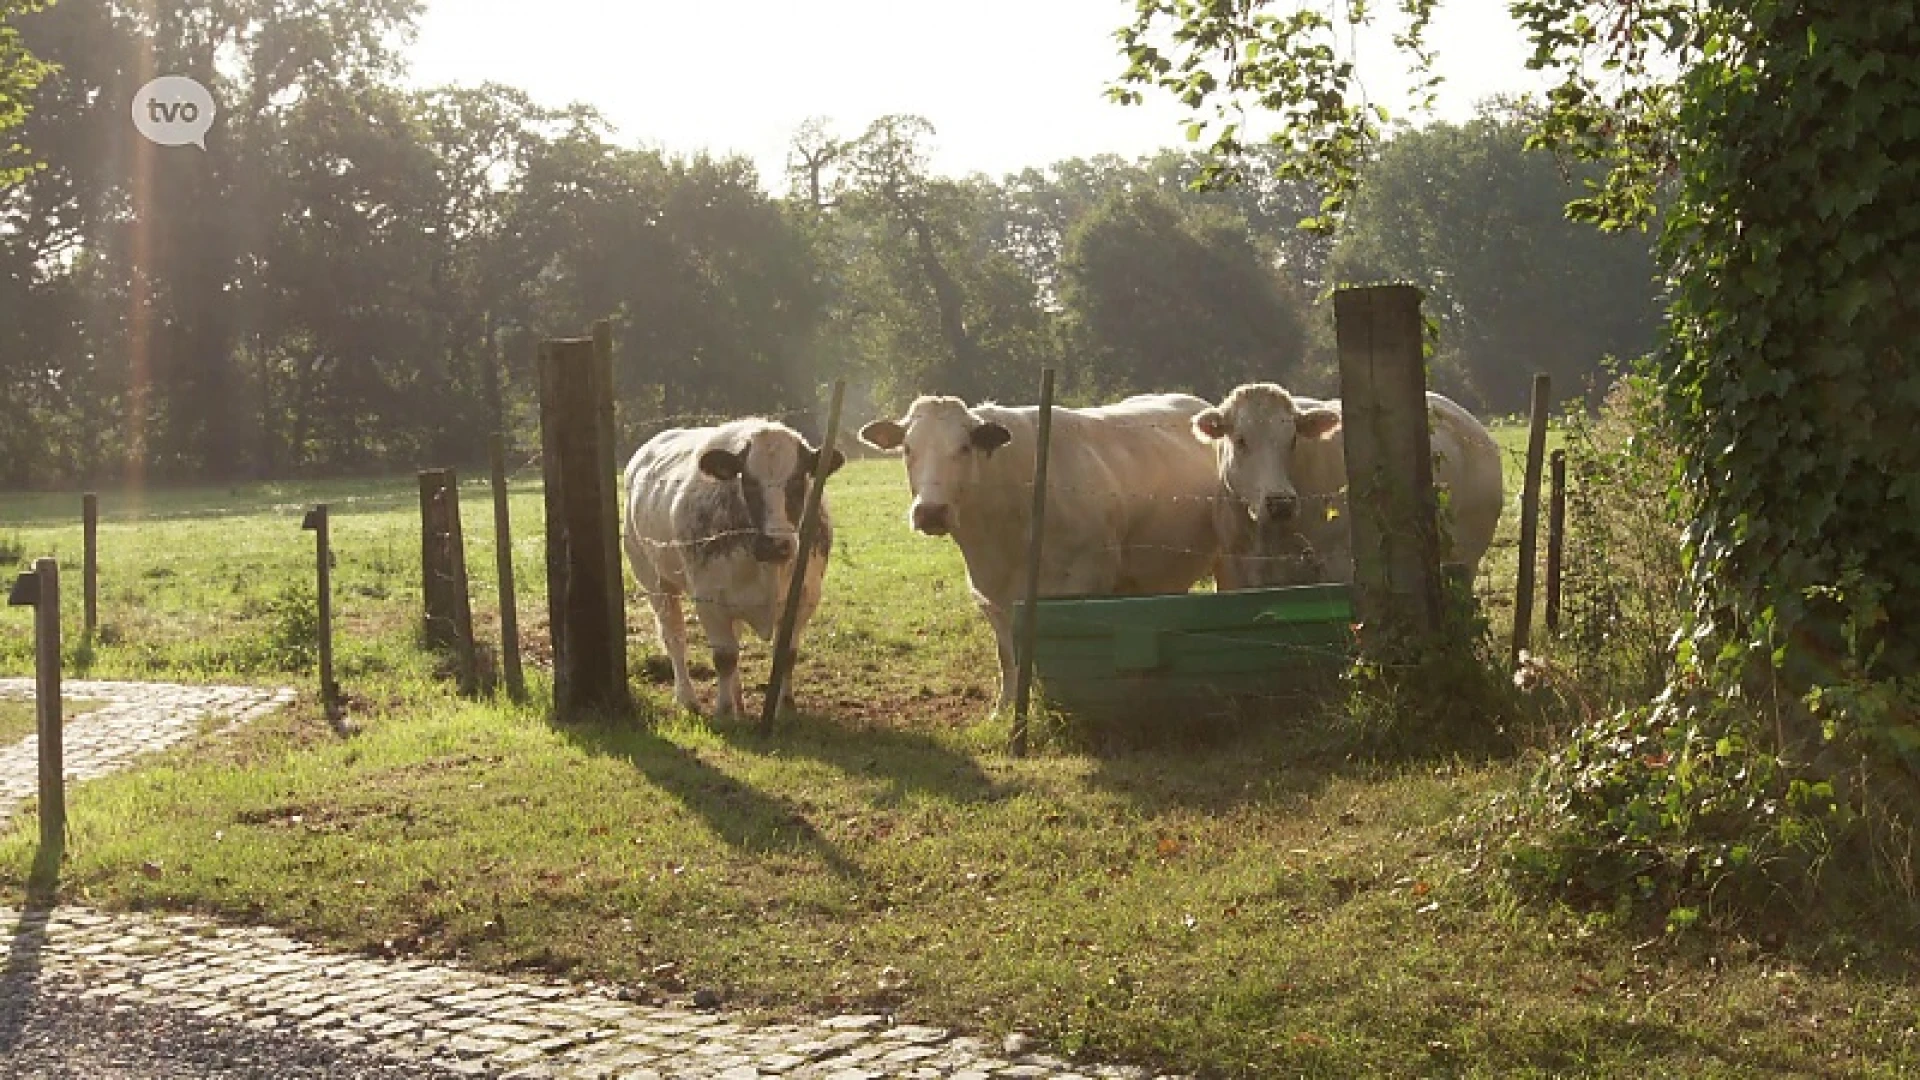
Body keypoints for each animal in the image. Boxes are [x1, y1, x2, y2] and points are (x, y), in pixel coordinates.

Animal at [625, 418, 844, 714]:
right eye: (748, 482)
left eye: (799, 480)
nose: (776, 544)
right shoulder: (709, 601)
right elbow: (724, 657)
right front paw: (725, 710)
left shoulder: (804, 599)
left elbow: (786, 655)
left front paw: (785, 706)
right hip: (654, 580)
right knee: (675, 638)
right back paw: (688, 697)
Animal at [860, 390, 1221, 711]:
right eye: (907, 449)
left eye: (964, 447)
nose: (931, 511)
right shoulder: (990, 597)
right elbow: (1008, 658)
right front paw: (1005, 709)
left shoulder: (1084, 585)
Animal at [1190, 384, 1505, 588]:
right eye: (1241, 440)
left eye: (1292, 439)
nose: (1281, 503)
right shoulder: (1238, 571)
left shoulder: (1339, 567)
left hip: (1465, 557)